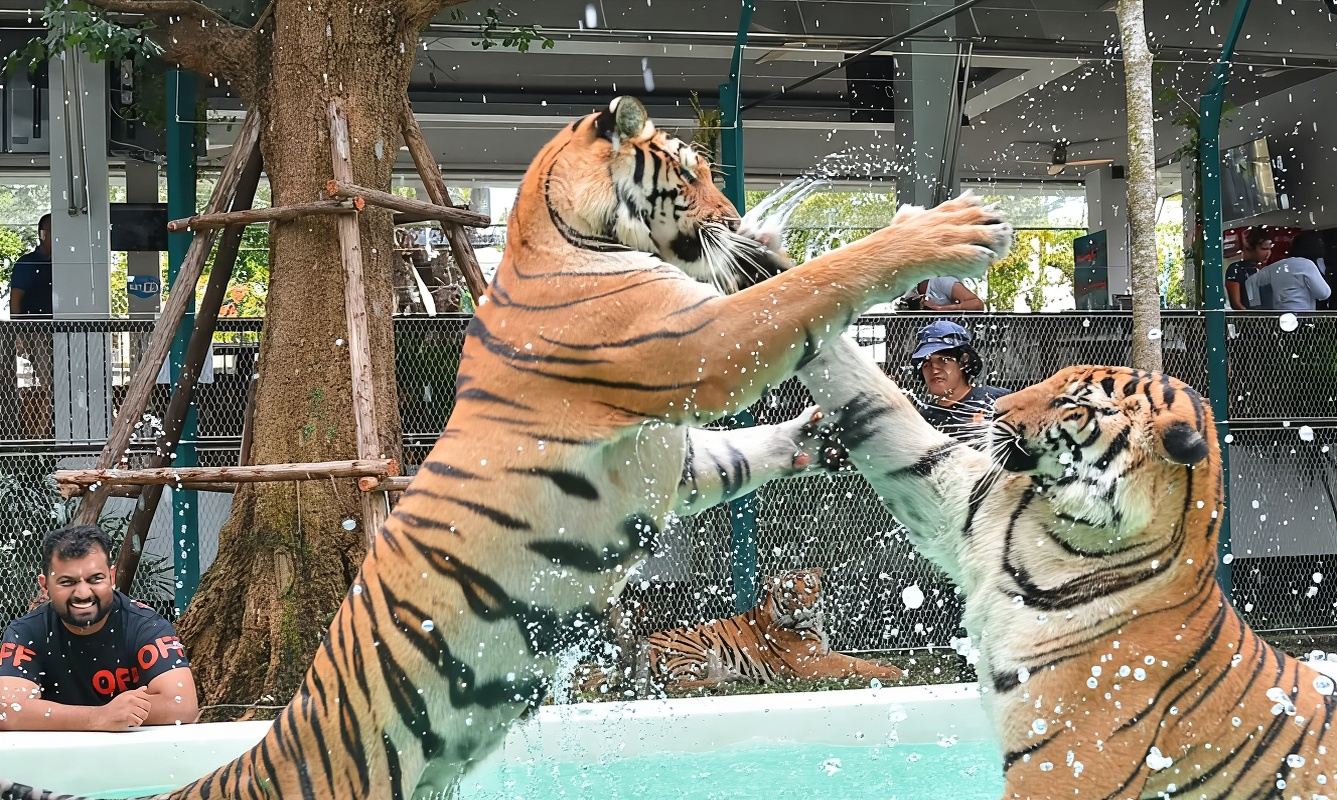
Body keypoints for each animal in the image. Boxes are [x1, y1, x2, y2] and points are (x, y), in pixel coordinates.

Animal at [641, 567, 903, 692]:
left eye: (809, 586)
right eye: (789, 592)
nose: (805, 608)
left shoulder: (824, 652)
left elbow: (858, 659)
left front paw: (885, 663)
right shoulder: (812, 662)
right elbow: (854, 664)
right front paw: (894, 672)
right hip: (692, 648)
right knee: (677, 685)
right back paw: (732, 680)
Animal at [799, 336, 1337, 799]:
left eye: (1069, 401)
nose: (994, 409)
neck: (1053, 533)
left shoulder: (1064, 762)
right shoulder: (956, 493)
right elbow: (877, 408)